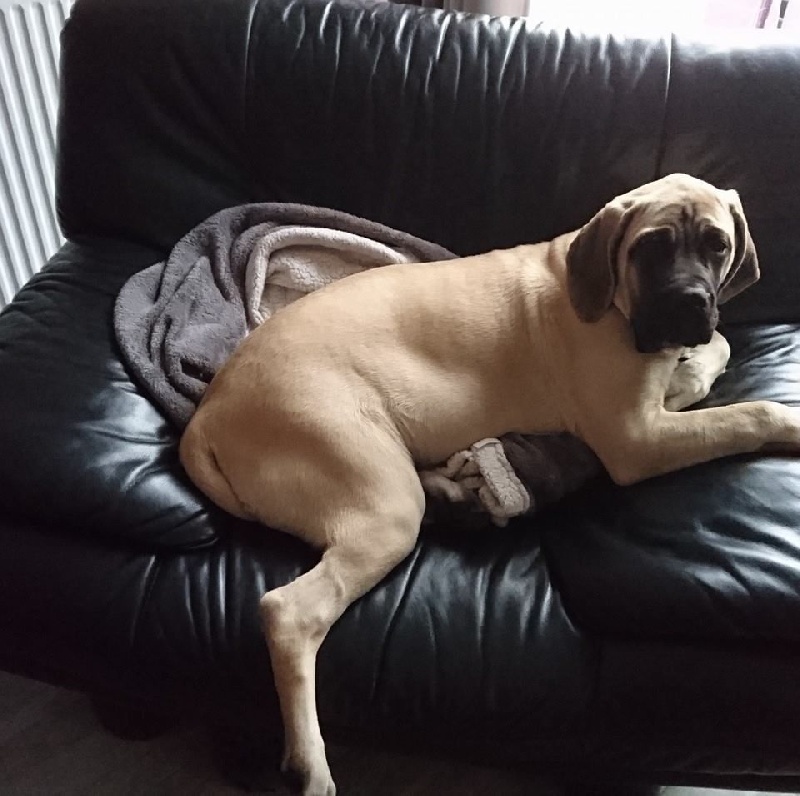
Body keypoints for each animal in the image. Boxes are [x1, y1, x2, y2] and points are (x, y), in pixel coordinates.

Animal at [180, 173, 800, 796]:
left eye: (718, 246)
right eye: (650, 248)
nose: (691, 302)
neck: (610, 301)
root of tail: (208, 414)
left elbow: (717, 349)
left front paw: (692, 366)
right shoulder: (636, 439)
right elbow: (747, 413)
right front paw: (785, 421)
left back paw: (453, 489)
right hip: (381, 504)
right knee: (289, 612)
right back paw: (309, 759)